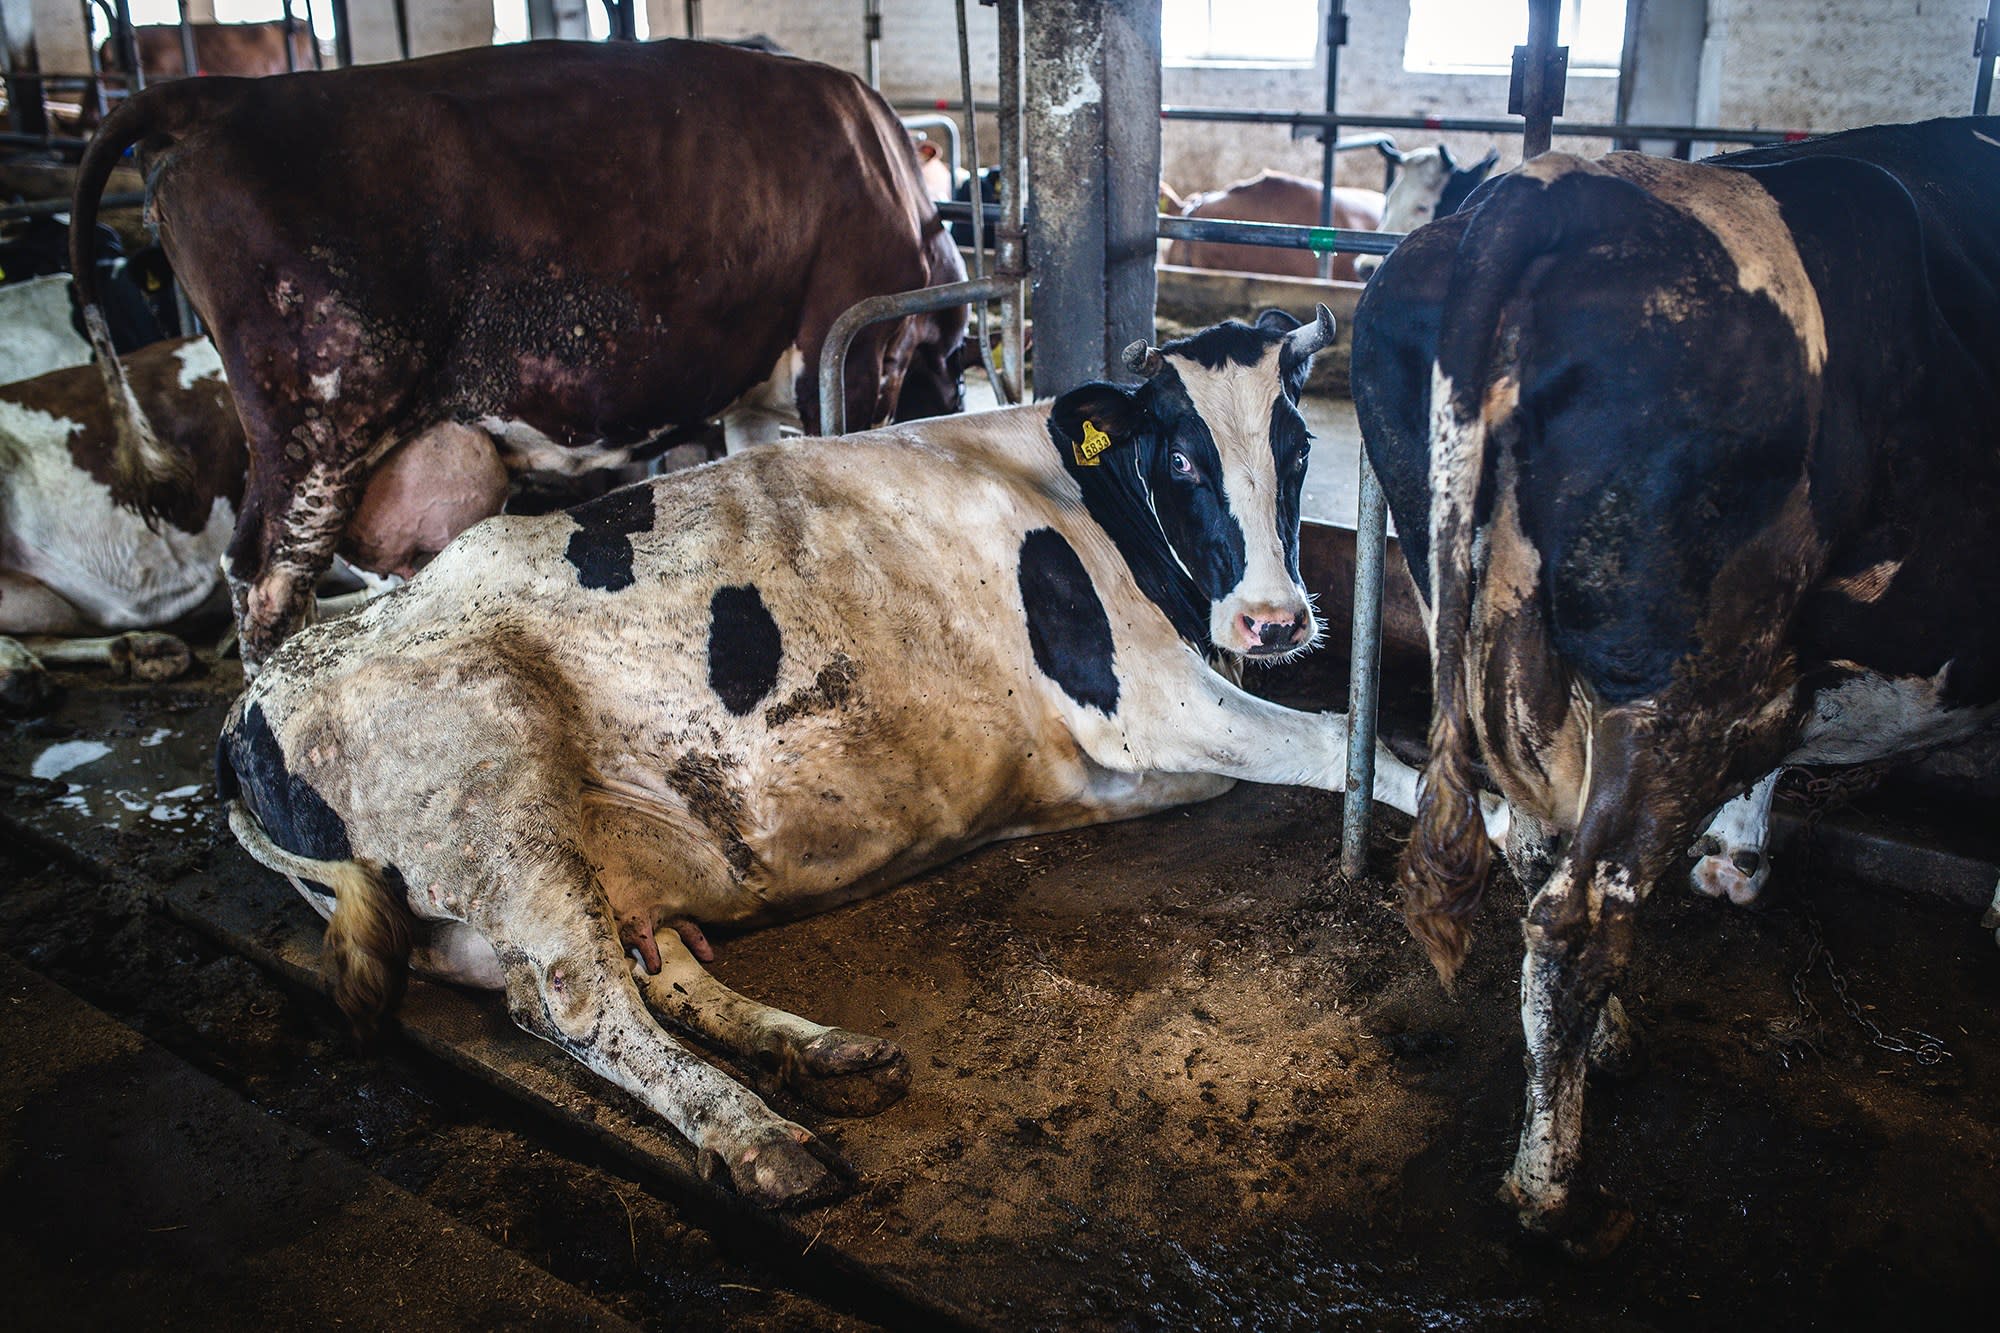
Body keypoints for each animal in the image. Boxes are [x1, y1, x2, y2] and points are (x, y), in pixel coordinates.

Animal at [223, 308, 1504, 1200]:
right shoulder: (1146, 703)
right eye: (1182, 458)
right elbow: (1356, 746)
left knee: (627, 972)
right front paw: (1491, 834)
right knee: (582, 1001)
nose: (1276, 622)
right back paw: (761, 1136)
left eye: (1294, 451)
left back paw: (823, 1054)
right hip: (494, 791)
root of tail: (252, 702)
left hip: (572, 865)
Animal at [1352, 119, 2000, 1240]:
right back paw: (1547, 1186)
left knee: (1535, 852)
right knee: (1577, 916)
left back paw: (1608, 1045)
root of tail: (1537, 195)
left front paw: (1735, 859)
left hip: (1488, 639)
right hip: (1685, 688)